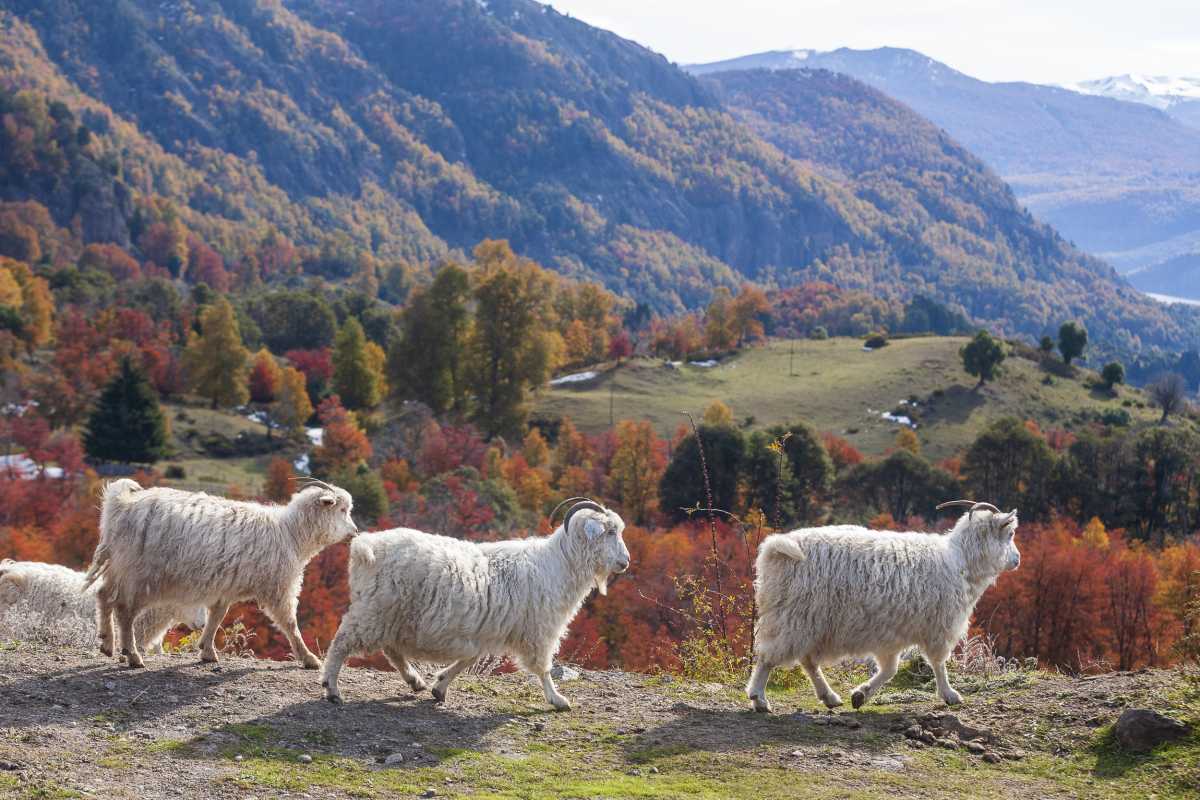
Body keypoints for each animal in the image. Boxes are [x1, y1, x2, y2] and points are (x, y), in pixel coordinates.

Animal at [85, 482, 355, 671]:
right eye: (342, 510)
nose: (355, 531)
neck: (290, 533)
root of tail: (122, 504)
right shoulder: (277, 587)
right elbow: (290, 624)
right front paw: (308, 658)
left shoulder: (224, 588)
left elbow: (216, 617)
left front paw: (206, 651)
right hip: (140, 576)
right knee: (124, 611)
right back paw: (131, 654)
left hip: (120, 567)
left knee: (104, 595)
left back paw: (107, 642)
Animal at [324, 496, 633, 710]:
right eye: (609, 532)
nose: (625, 562)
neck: (559, 564)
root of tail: (366, 546)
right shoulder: (538, 631)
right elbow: (543, 668)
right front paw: (557, 699)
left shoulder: (487, 629)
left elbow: (469, 658)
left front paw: (440, 687)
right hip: (375, 609)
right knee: (342, 643)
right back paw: (332, 688)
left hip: (391, 613)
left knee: (391, 649)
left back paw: (415, 680)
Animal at [744, 501, 1017, 714]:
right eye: (1010, 534)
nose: (1017, 559)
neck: (961, 560)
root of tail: (776, 547)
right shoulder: (939, 627)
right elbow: (938, 663)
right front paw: (950, 694)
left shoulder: (890, 633)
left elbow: (890, 670)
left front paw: (861, 695)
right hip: (793, 615)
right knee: (769, 656)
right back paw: (759, 698)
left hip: (809, 621)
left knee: (808, 660)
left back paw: (829, 696)